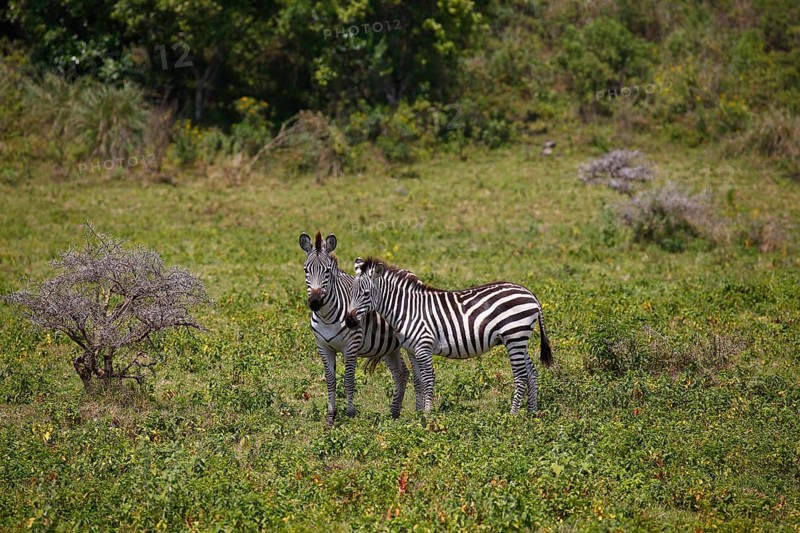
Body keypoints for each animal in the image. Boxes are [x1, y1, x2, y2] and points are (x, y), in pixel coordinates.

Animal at [299, 232, 409, 424]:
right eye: (306, 270)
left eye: (327, 271)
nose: (315, 302)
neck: (326, 317)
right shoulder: (323, 347)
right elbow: (330, 381)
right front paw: (330, 418)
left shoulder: (351, 346)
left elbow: (349, 381)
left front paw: (350, 415)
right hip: (389, 347)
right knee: (401, 373)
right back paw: (394, 414)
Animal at [344, 257, 552, 414]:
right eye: (350, 291)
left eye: (366, 293)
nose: (349, 321)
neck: (407, 310)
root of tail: (530, 294)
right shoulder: (412, 350)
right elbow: (418, 381)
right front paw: (418, 415)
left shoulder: (424, 347)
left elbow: (428, 380)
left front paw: (427, 415)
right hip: (519, 340)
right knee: (532, 373)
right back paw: (531, 413)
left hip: (514, 337)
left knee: (520, 376)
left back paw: (513, 415)